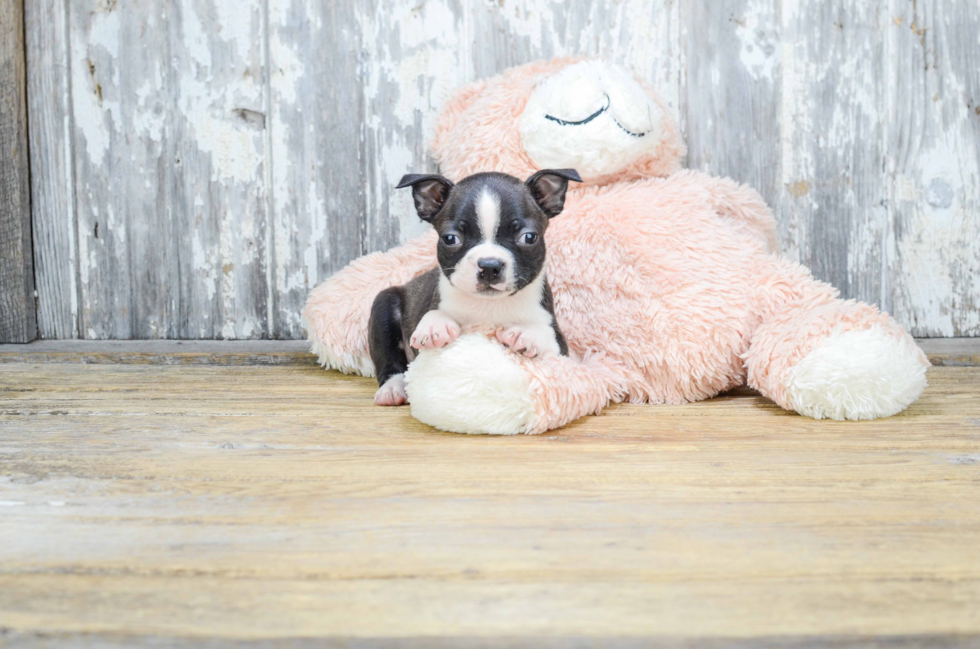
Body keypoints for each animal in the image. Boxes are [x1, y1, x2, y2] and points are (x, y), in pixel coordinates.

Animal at [368, 172, 580, 404]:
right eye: (450, 238)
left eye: (529, 237)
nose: (489, 265)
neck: (489, 305)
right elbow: (434, 314)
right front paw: (434, 326)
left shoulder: (560, 346)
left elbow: (546, 336)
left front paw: (526, 333)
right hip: (384, 304)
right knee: (389, 360)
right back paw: (393, 388)